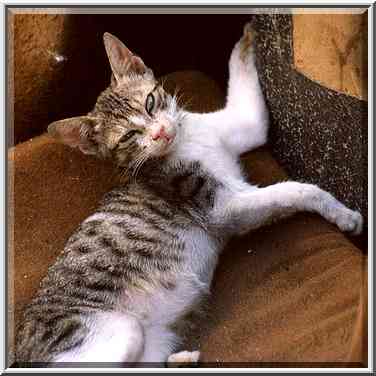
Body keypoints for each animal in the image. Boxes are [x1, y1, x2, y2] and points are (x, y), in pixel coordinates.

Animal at [14, 22, 362, 366]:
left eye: (150, 102)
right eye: (128, 136)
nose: (160, 133)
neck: (186, 141)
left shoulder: (245, 126)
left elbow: (248, 98)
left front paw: (247, 38)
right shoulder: (221, 206)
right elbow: (296, 189)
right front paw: (343, 213)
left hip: (152, 342)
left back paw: (183, 359)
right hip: (118, 332)